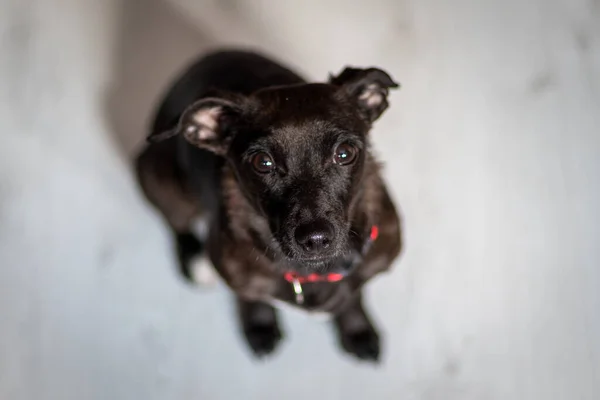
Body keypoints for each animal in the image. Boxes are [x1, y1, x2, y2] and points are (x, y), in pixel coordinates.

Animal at [136, 50, 404, 362]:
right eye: (262, 162)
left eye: (345, 153)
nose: (315, 239)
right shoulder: (238, 275)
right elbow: (252, 298)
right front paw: (260, 326)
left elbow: (354, 294)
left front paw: (357, 328)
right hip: (159, 177)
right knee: (176, 220)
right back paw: (193, 258)